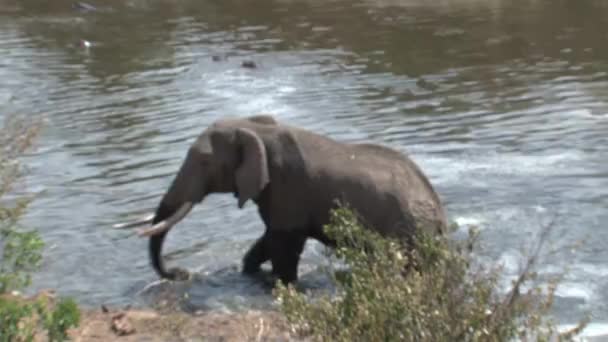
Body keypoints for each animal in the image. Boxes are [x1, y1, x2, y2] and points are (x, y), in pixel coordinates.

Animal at [133, 114, 446, 284]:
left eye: (203, 161)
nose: (180, 273)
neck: (258, 129)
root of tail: (439, 210)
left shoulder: (289, 186)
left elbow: (284, 244)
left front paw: (282, 284)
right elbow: (268, 241)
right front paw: (249, 273)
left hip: (410, 229)